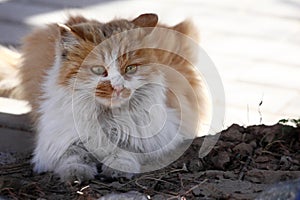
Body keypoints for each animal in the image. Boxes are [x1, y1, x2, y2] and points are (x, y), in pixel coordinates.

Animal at [6, 13, 209, 183]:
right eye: (98, 70)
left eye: (130, 68)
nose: (118, 87)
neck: (106, 117)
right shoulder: (59, 139)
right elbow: (73, 155)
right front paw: (76, 174)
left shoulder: (158, 136)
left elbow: (125, 150)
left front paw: (116, 170)